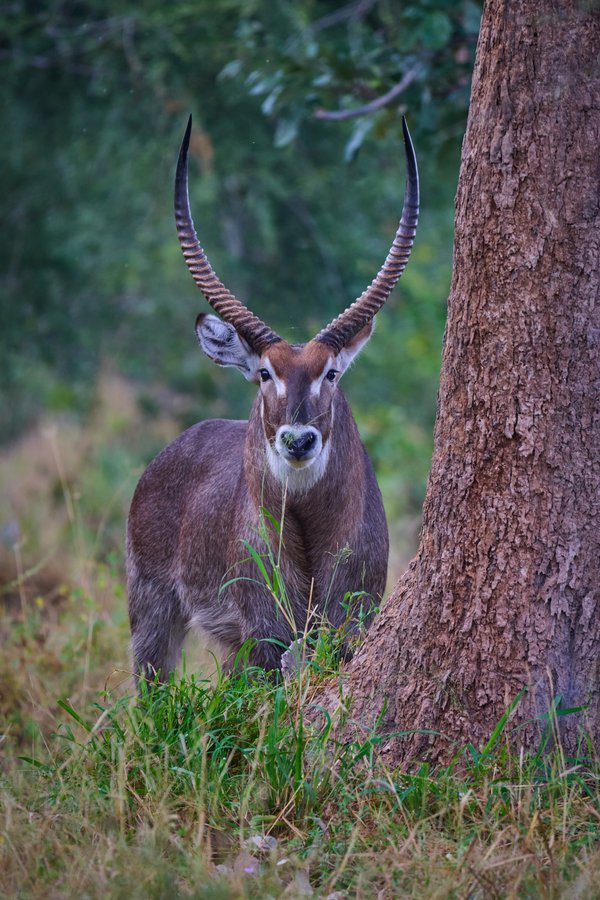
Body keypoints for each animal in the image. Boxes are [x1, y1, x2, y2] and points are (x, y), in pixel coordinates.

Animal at [127, 115, 419, 680]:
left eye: (331, 373)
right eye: (264, 372)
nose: (298, 441)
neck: (307, 528)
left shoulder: (351, 620)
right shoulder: (264, 632)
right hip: (150, 607)